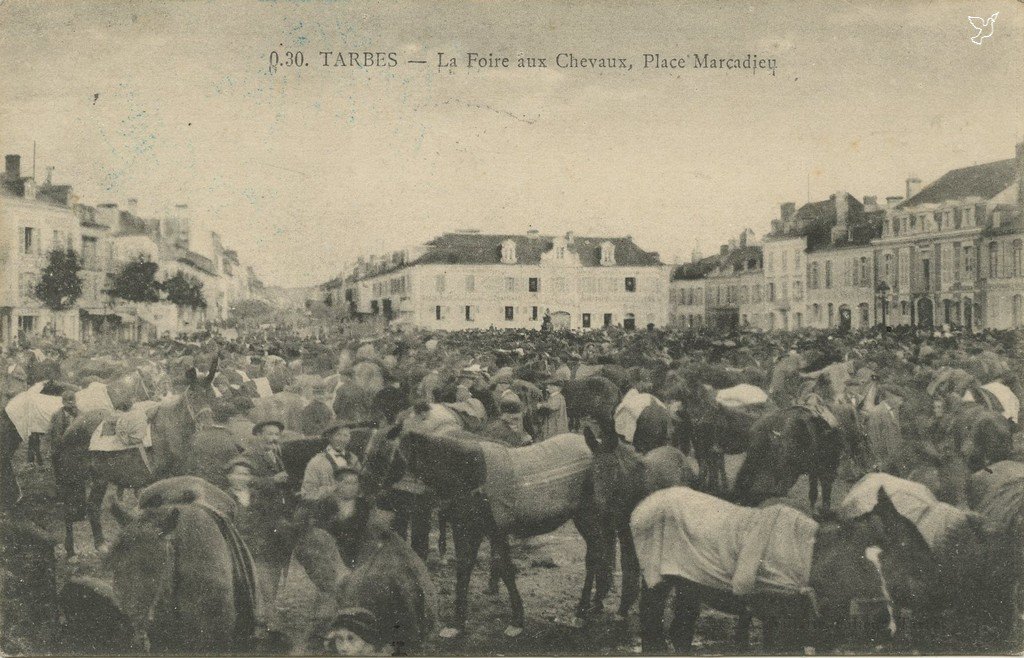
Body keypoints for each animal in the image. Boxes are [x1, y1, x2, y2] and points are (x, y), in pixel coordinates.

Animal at [360, 421, 614, 638]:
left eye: (381, 455)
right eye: (367, 453)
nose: (363, 492)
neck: (468, 473)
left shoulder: (489, 529)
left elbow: (502, 569)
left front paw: (515, 621)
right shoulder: (473, 528)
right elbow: (467, 568)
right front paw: (458, 624)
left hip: (588, 516)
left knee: (595, 555)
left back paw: (581, 612)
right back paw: (597, 601)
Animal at [630, 487, 942, 650]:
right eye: (907, 540)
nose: (937, 579)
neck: (816, 562)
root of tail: (640, 507)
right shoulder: (782, 623)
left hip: (688, 587)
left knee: (680, 631)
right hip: (655, 581)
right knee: (650, 622)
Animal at [733, 403, 868, 517]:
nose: (863, 438)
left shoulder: (815, 470)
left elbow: (813, 492)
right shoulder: (826, 469)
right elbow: (824, 491)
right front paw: (822, 512)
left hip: (755, 461)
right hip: (787, 472)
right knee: (774, 490)